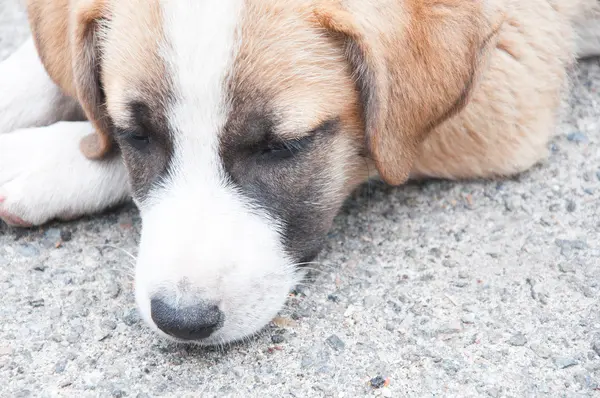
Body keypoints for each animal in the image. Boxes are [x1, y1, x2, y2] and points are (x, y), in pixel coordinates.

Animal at [0, 0, 596, 346]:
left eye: (281, 148)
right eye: (136, 135)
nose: (182, 322)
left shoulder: (513, 78)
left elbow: (382, 146)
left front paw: (40, 159)